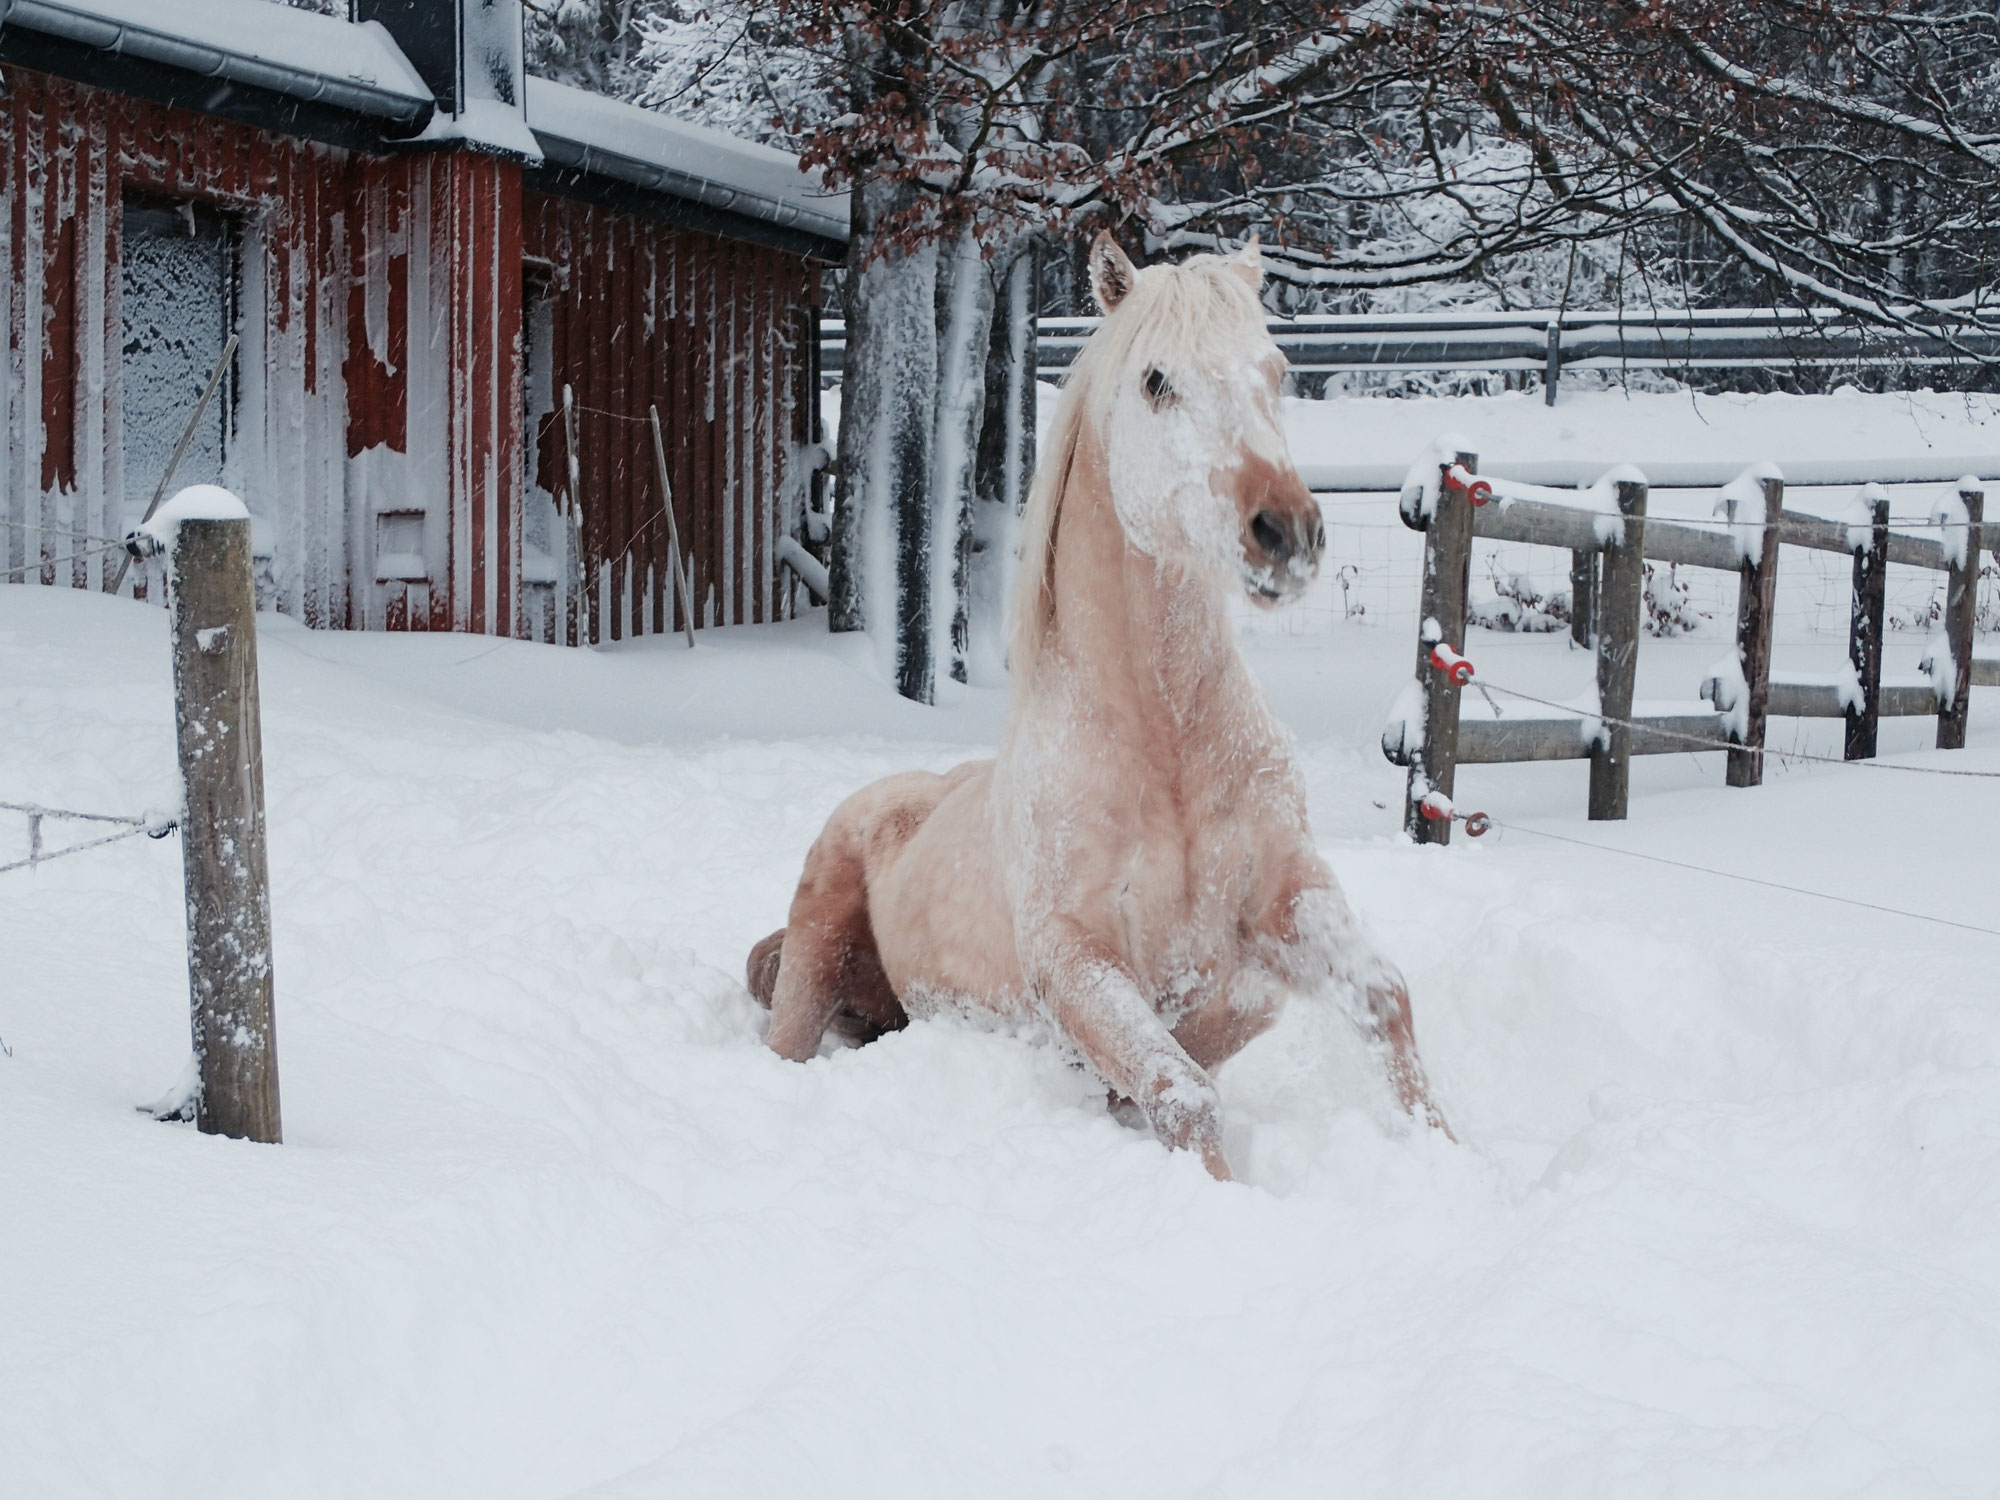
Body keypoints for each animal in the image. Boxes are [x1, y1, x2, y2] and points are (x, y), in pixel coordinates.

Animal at [752, 235, 1456, 1184]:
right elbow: (1183, 1092)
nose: (1287, 534)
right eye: (1157, 380)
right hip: (813, 954)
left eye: (1277, 370)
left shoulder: (1284, 902)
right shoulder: (1075, 958)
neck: (1166, 747)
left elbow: (1382, 998)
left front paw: (1454, 1159)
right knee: (786, 1034)